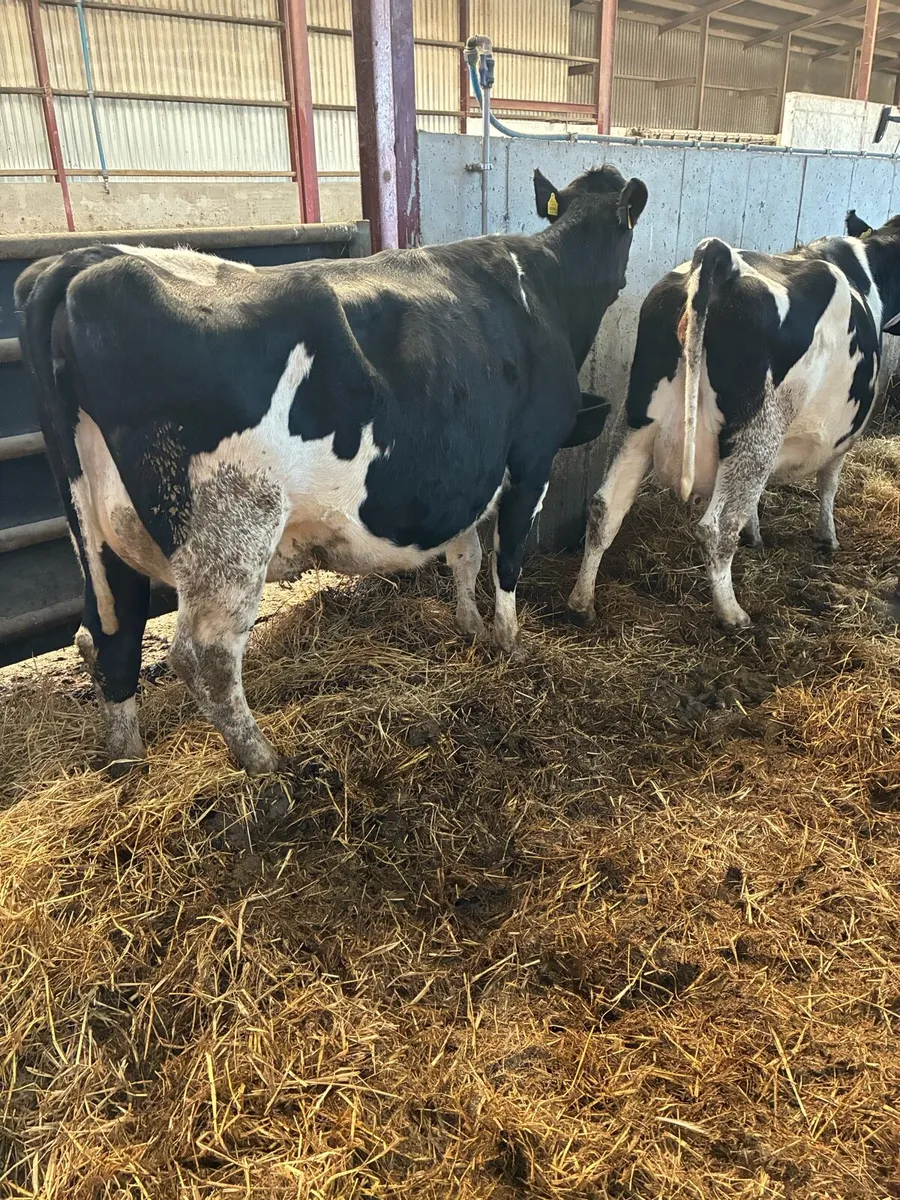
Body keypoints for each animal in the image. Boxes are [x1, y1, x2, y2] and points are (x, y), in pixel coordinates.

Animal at [16, 164, 648, 774]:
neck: (546, 285)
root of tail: (81, 264)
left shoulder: (469, 473)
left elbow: (464, 554)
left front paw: (469, 625)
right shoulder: (532, 455)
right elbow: (507, 558)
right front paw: (509, 641)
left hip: (94, 529)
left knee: (107, 633)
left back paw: (127, 762)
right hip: (231, 523)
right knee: (205, 655)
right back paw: (266, 765)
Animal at [566, 210, 900, 631]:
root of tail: (720, 259)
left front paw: (755, 535)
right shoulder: (844, 435)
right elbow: (829, 484)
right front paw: (827, 538)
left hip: (638, 421)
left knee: (604, 507)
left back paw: (581, 603)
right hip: (757, 431)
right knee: (717, 527)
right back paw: (733, 614)